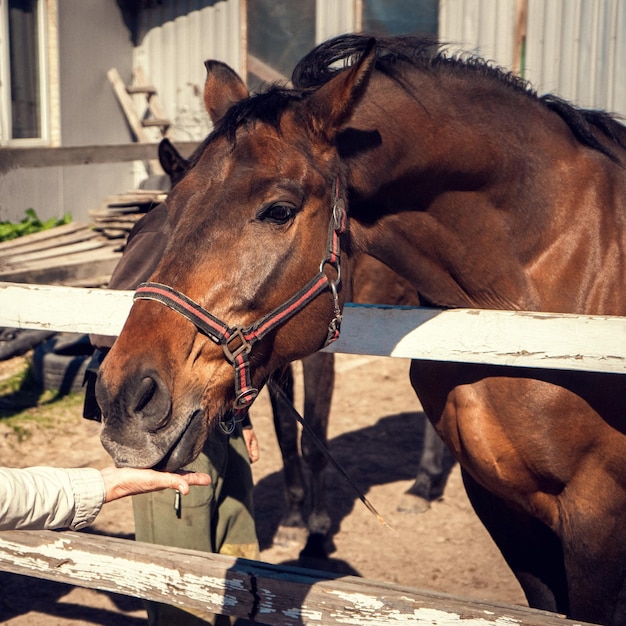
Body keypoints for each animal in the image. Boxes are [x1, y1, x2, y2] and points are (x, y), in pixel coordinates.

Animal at [96, 35, 624, 624]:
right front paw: (298, 518)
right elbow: (287, 433)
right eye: (174, 207)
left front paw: (316, 533)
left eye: (278, 211)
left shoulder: (594, 516)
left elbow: (313, 435)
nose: (123, 398)